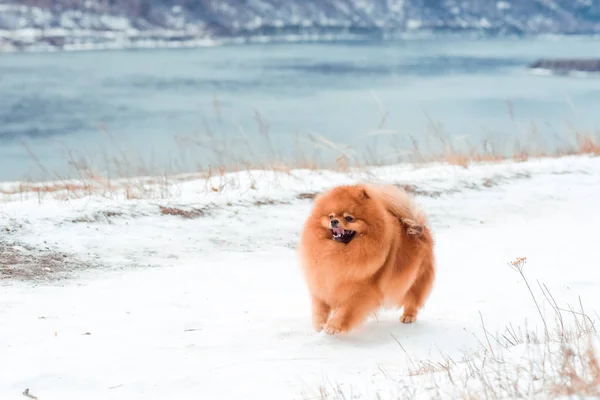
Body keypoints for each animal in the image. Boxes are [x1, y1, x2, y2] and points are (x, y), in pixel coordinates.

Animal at [296, 184, 434, 334]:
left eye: (349, 218)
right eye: (330, 216)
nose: (334, 221)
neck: (339, 252)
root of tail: (419, 228)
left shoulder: (362, 292)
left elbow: (346, 311)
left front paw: (332, 326)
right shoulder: (324, 281)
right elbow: (320, 307)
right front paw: (319, 324)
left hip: (415, 280)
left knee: (412, 299)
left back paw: (408, 316)